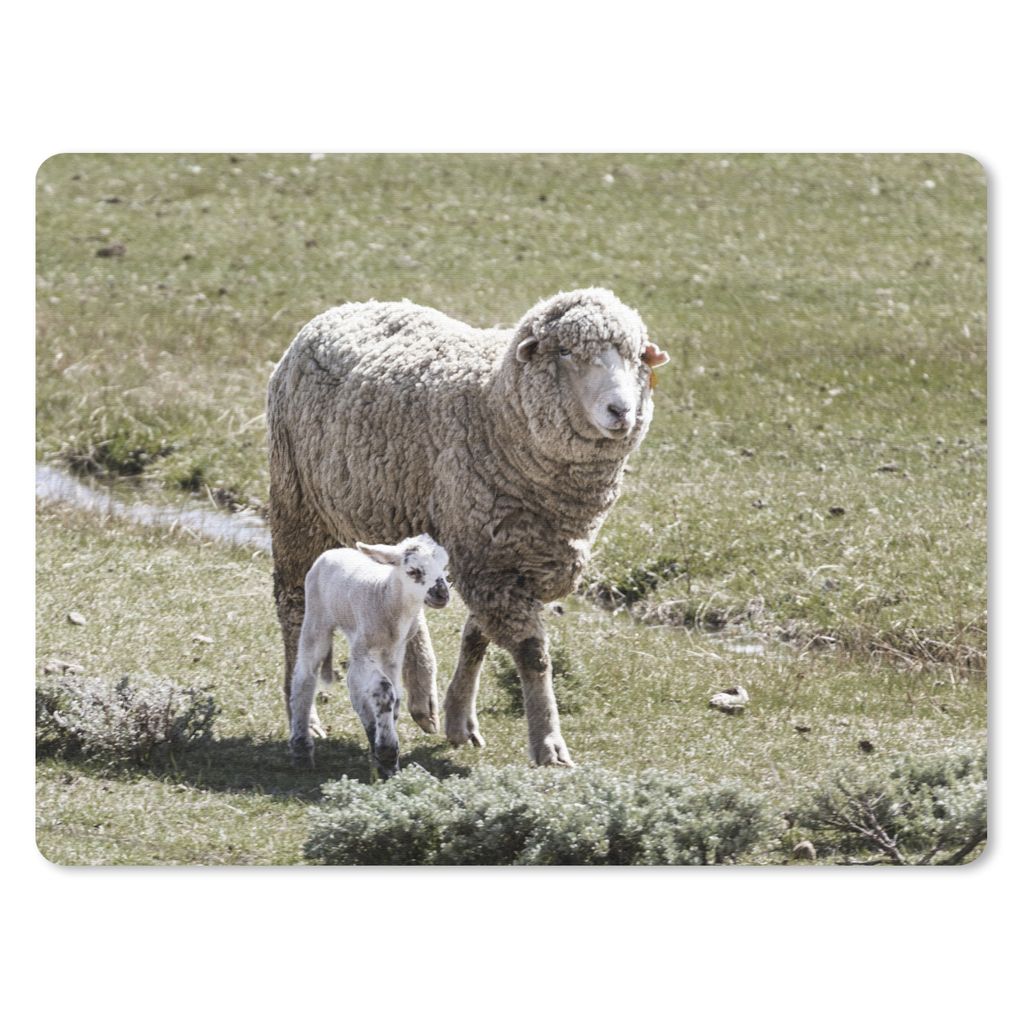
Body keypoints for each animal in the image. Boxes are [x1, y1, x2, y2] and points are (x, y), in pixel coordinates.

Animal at [289, 534, 450, 776]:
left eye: (444, 568)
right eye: (413, 571)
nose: (442, 594)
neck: (386, 596)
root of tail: (334, 550)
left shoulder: (395, 651)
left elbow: (396, 696)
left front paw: (384, 754)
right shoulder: (365, 650)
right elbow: (384, 689)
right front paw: (387, 753)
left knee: (354, 684)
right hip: (317, 615)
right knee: (305, 674)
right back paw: (301, 749)